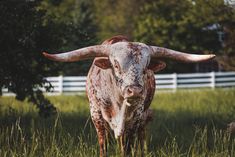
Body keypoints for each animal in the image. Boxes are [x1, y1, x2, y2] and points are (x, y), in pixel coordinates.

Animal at [42, 35, 215, 157]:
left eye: (146, 67)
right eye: (116, 65)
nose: (135, 91)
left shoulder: (135, 119)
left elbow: (128, 148)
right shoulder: (97, 116)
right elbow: (104, 147)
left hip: (144, 117)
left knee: (140, 137)